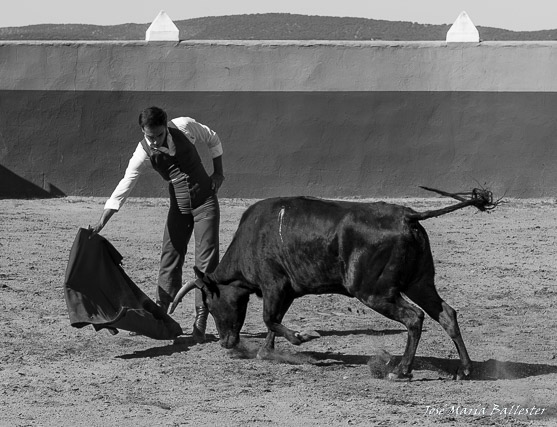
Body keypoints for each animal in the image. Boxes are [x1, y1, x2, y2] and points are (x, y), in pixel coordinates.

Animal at [170, 191, 496, 382]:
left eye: (211, 303)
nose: (226, 343)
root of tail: (408, 215)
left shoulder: (274, 284)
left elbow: (269, 319)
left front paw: (302, 336)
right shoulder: (287, 290)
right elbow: (274, 320)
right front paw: (267, 352)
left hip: (374, 292)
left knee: (414, 317)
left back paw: (401, 370)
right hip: (420, 283)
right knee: (446, 314)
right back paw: (465, 369)